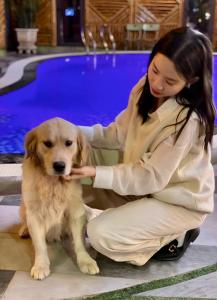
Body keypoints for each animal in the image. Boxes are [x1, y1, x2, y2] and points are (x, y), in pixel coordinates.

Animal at [19, 116, 99, 278]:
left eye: (68, 143)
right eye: (47, 143)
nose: (59, 166)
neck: (53, 183)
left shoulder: (76, 210)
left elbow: (79, 242)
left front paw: (85, 261)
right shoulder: (34, 213)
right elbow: (40, 244)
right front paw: (41, 265)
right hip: (24, 206)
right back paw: (24, 230)